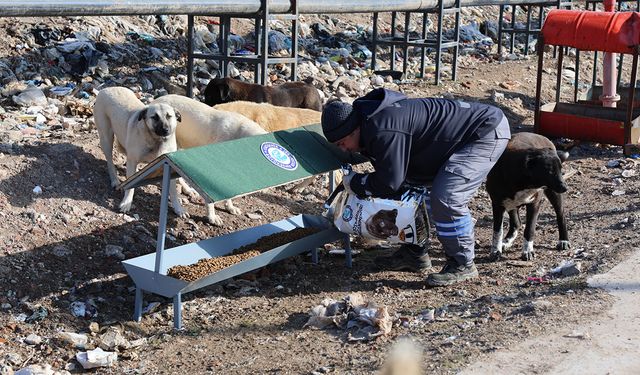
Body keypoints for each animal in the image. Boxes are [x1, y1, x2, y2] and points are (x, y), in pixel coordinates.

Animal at [94, 87, 186, 217]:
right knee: (110, 161)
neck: (156, 140)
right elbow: (130, 186)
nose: (165, 130)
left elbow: (173, 191)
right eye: (154, 117)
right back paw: (115, 180)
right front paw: (127, 203)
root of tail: (106, 89)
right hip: (106, 138)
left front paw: (178, 208)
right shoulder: (132, 160)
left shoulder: (169, 164)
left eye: (169, 116)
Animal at [484, 133, 568, 262]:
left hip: (553, 193)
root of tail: (542, 136)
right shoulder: (497, 204)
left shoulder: (534, 204)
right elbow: (497, 231)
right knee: (516, 223)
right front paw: (495, 251)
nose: (565, 187)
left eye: (560, 169)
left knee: (561, 215)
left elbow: (530, 229)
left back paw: (564, 240)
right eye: (549, 171)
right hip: (511, 204)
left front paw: (528, 251)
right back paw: (507, 241)